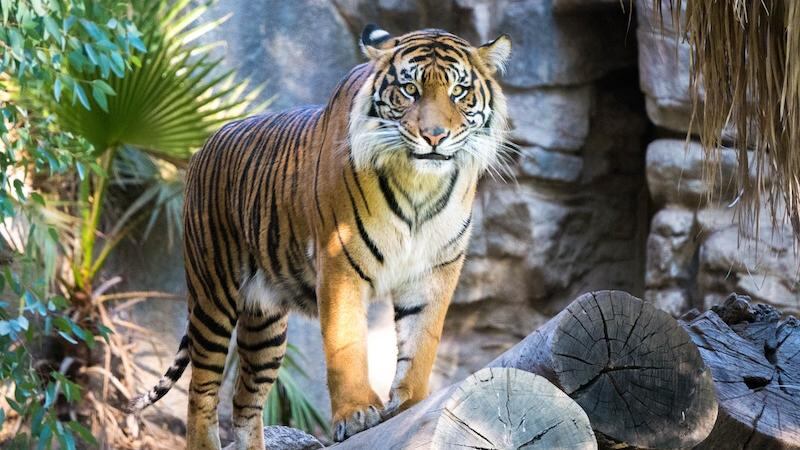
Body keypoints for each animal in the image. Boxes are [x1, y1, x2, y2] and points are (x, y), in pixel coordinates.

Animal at [130, 24, 512, 449]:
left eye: (459, 91)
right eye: (409, 89)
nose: (434, 136)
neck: (421, 185)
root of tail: (203, 146)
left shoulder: (435, 269)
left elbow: (422, 342)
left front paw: (411, 405)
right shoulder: (340, 260)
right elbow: (346, 345)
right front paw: (357, 414)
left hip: (264, 324)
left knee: (244, 400)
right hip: (213, 294)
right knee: (202, 391)